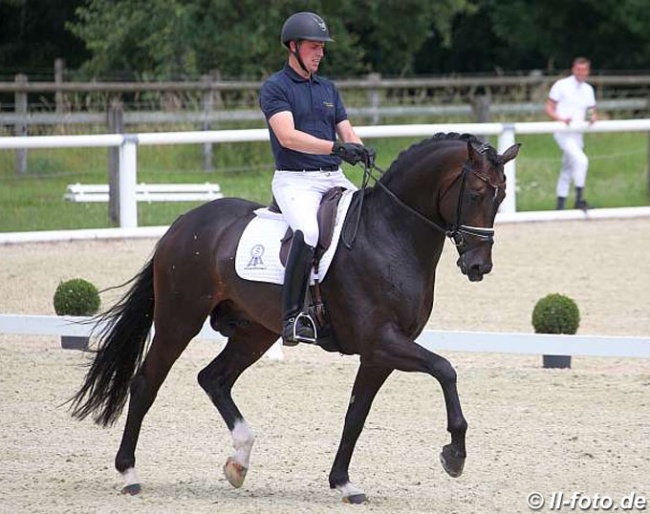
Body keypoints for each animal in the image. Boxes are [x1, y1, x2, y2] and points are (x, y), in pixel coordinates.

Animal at [69, 131, 516, 500]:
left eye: (501, 197)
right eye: (476, 194)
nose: (479, 266)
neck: (391, 234)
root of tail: (183, 222)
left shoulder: (378, 353)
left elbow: (356, 413)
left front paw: (343, 482)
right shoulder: (382, 341)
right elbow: (445, 369)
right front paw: (454, 455)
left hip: (254, 332)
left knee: (214, 378)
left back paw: (239, 461)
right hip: (180, 320)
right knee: (146, 382)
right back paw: (129, 473)